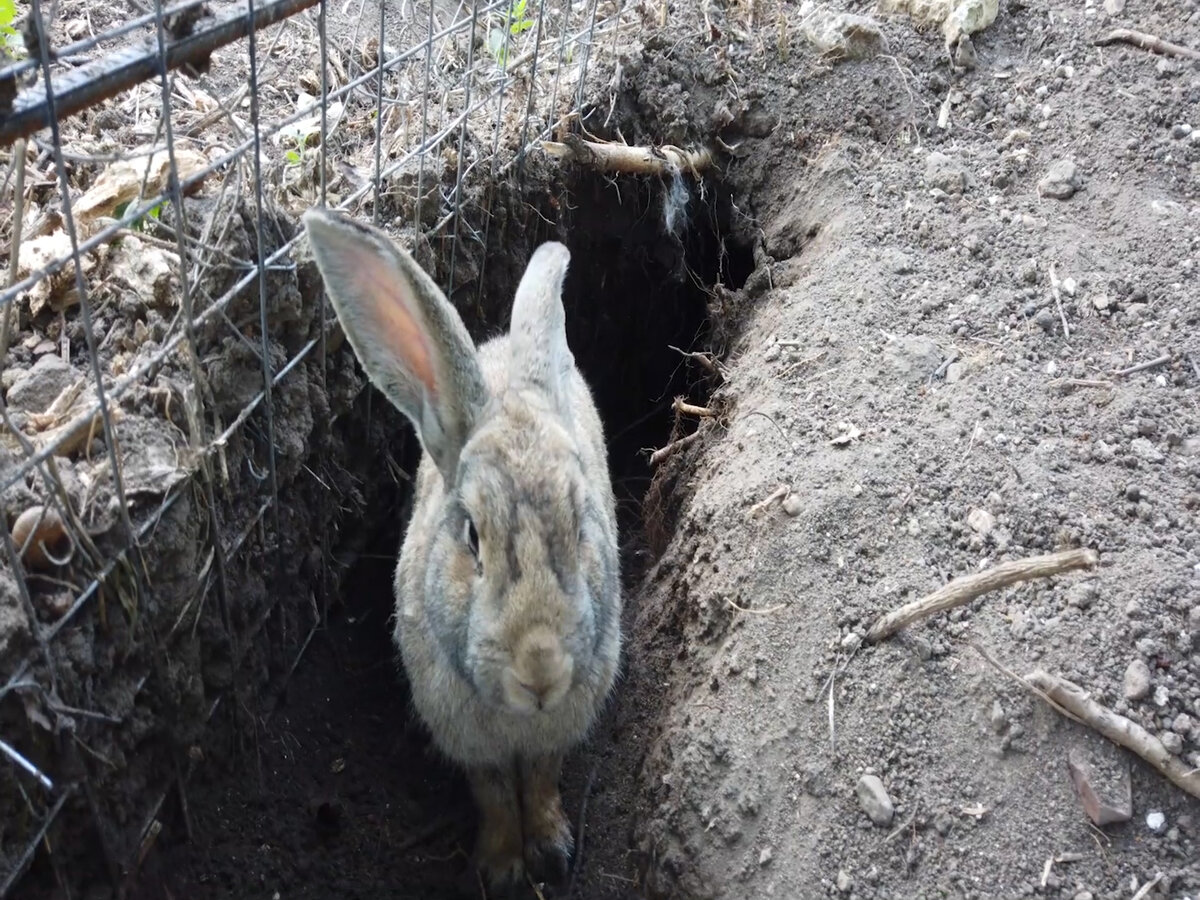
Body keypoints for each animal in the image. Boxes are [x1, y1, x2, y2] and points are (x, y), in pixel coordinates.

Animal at [300, 207, 624, 892]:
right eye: (471, 535)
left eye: (581, 523)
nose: (540, 670)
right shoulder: (466, 738)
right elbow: (494, 791)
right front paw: (502, 868)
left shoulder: (556, 731)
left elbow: (541, 779)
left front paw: (550, 851)